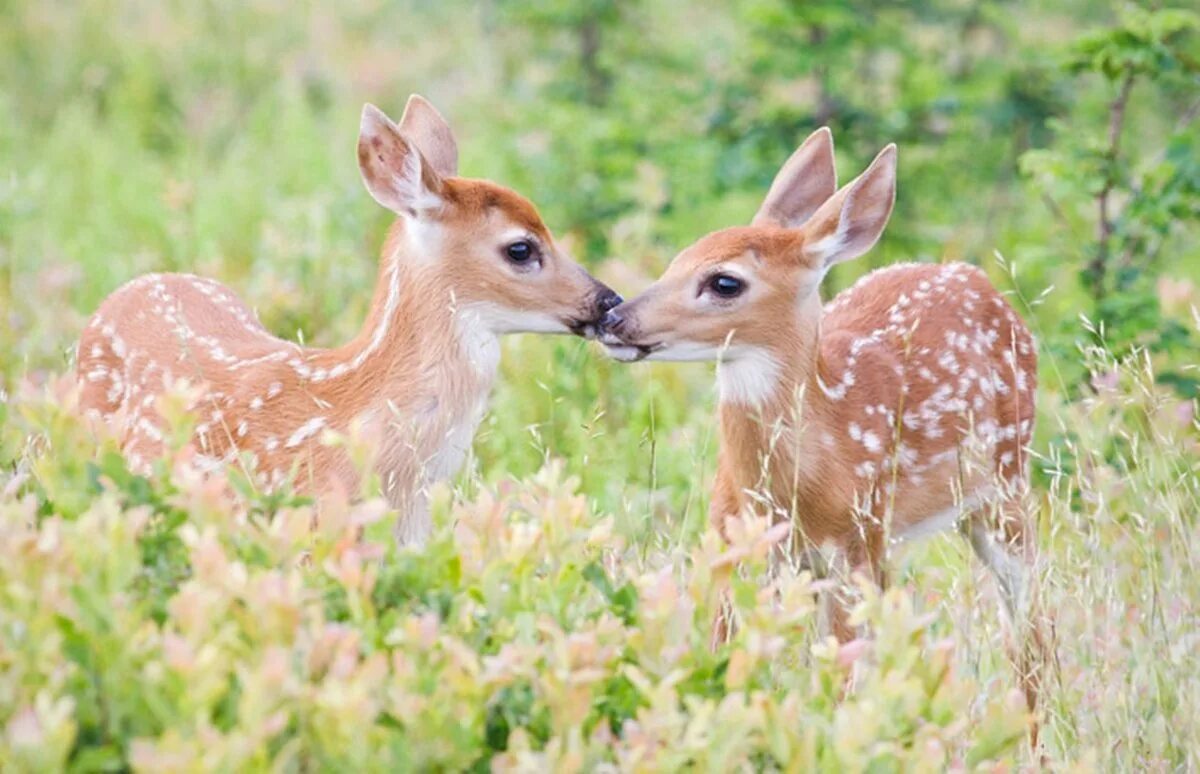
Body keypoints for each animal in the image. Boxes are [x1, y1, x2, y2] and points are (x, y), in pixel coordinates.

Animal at [604, 129, 1046, 744]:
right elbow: (724, 654)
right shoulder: (737, 542)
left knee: (1029, 623)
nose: (614, 319)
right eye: (675, 260)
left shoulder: (855, 540)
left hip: (1003, 483)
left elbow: (841, 676)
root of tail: (980, 280)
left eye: (724, 282)